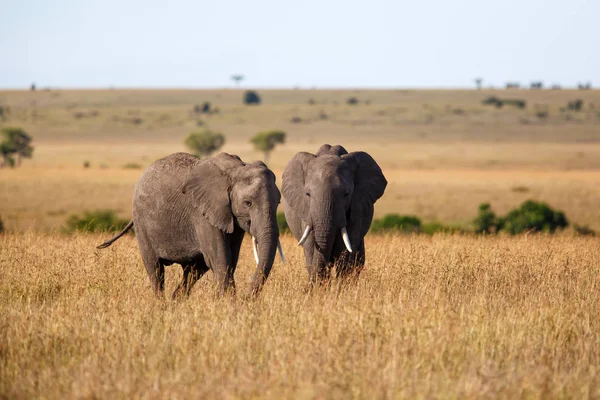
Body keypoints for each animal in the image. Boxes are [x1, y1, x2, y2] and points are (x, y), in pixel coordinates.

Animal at [97, 152, 284, 298]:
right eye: (247, 203)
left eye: (279, 202)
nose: (247, 298)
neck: (236, 170)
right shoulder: (203, 214)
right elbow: (220, 260)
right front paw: (228, 306)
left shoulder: (232, 218)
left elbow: (231, 261)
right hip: (141, 221)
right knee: (155, 270)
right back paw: (161, 307)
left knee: (193, 272)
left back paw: (174, 304)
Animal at [280, 144, 384, 284]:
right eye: (307, 194)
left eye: (346, 194)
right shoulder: (306, 212)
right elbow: (312, 251)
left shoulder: (356, 209)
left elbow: (346, 254)